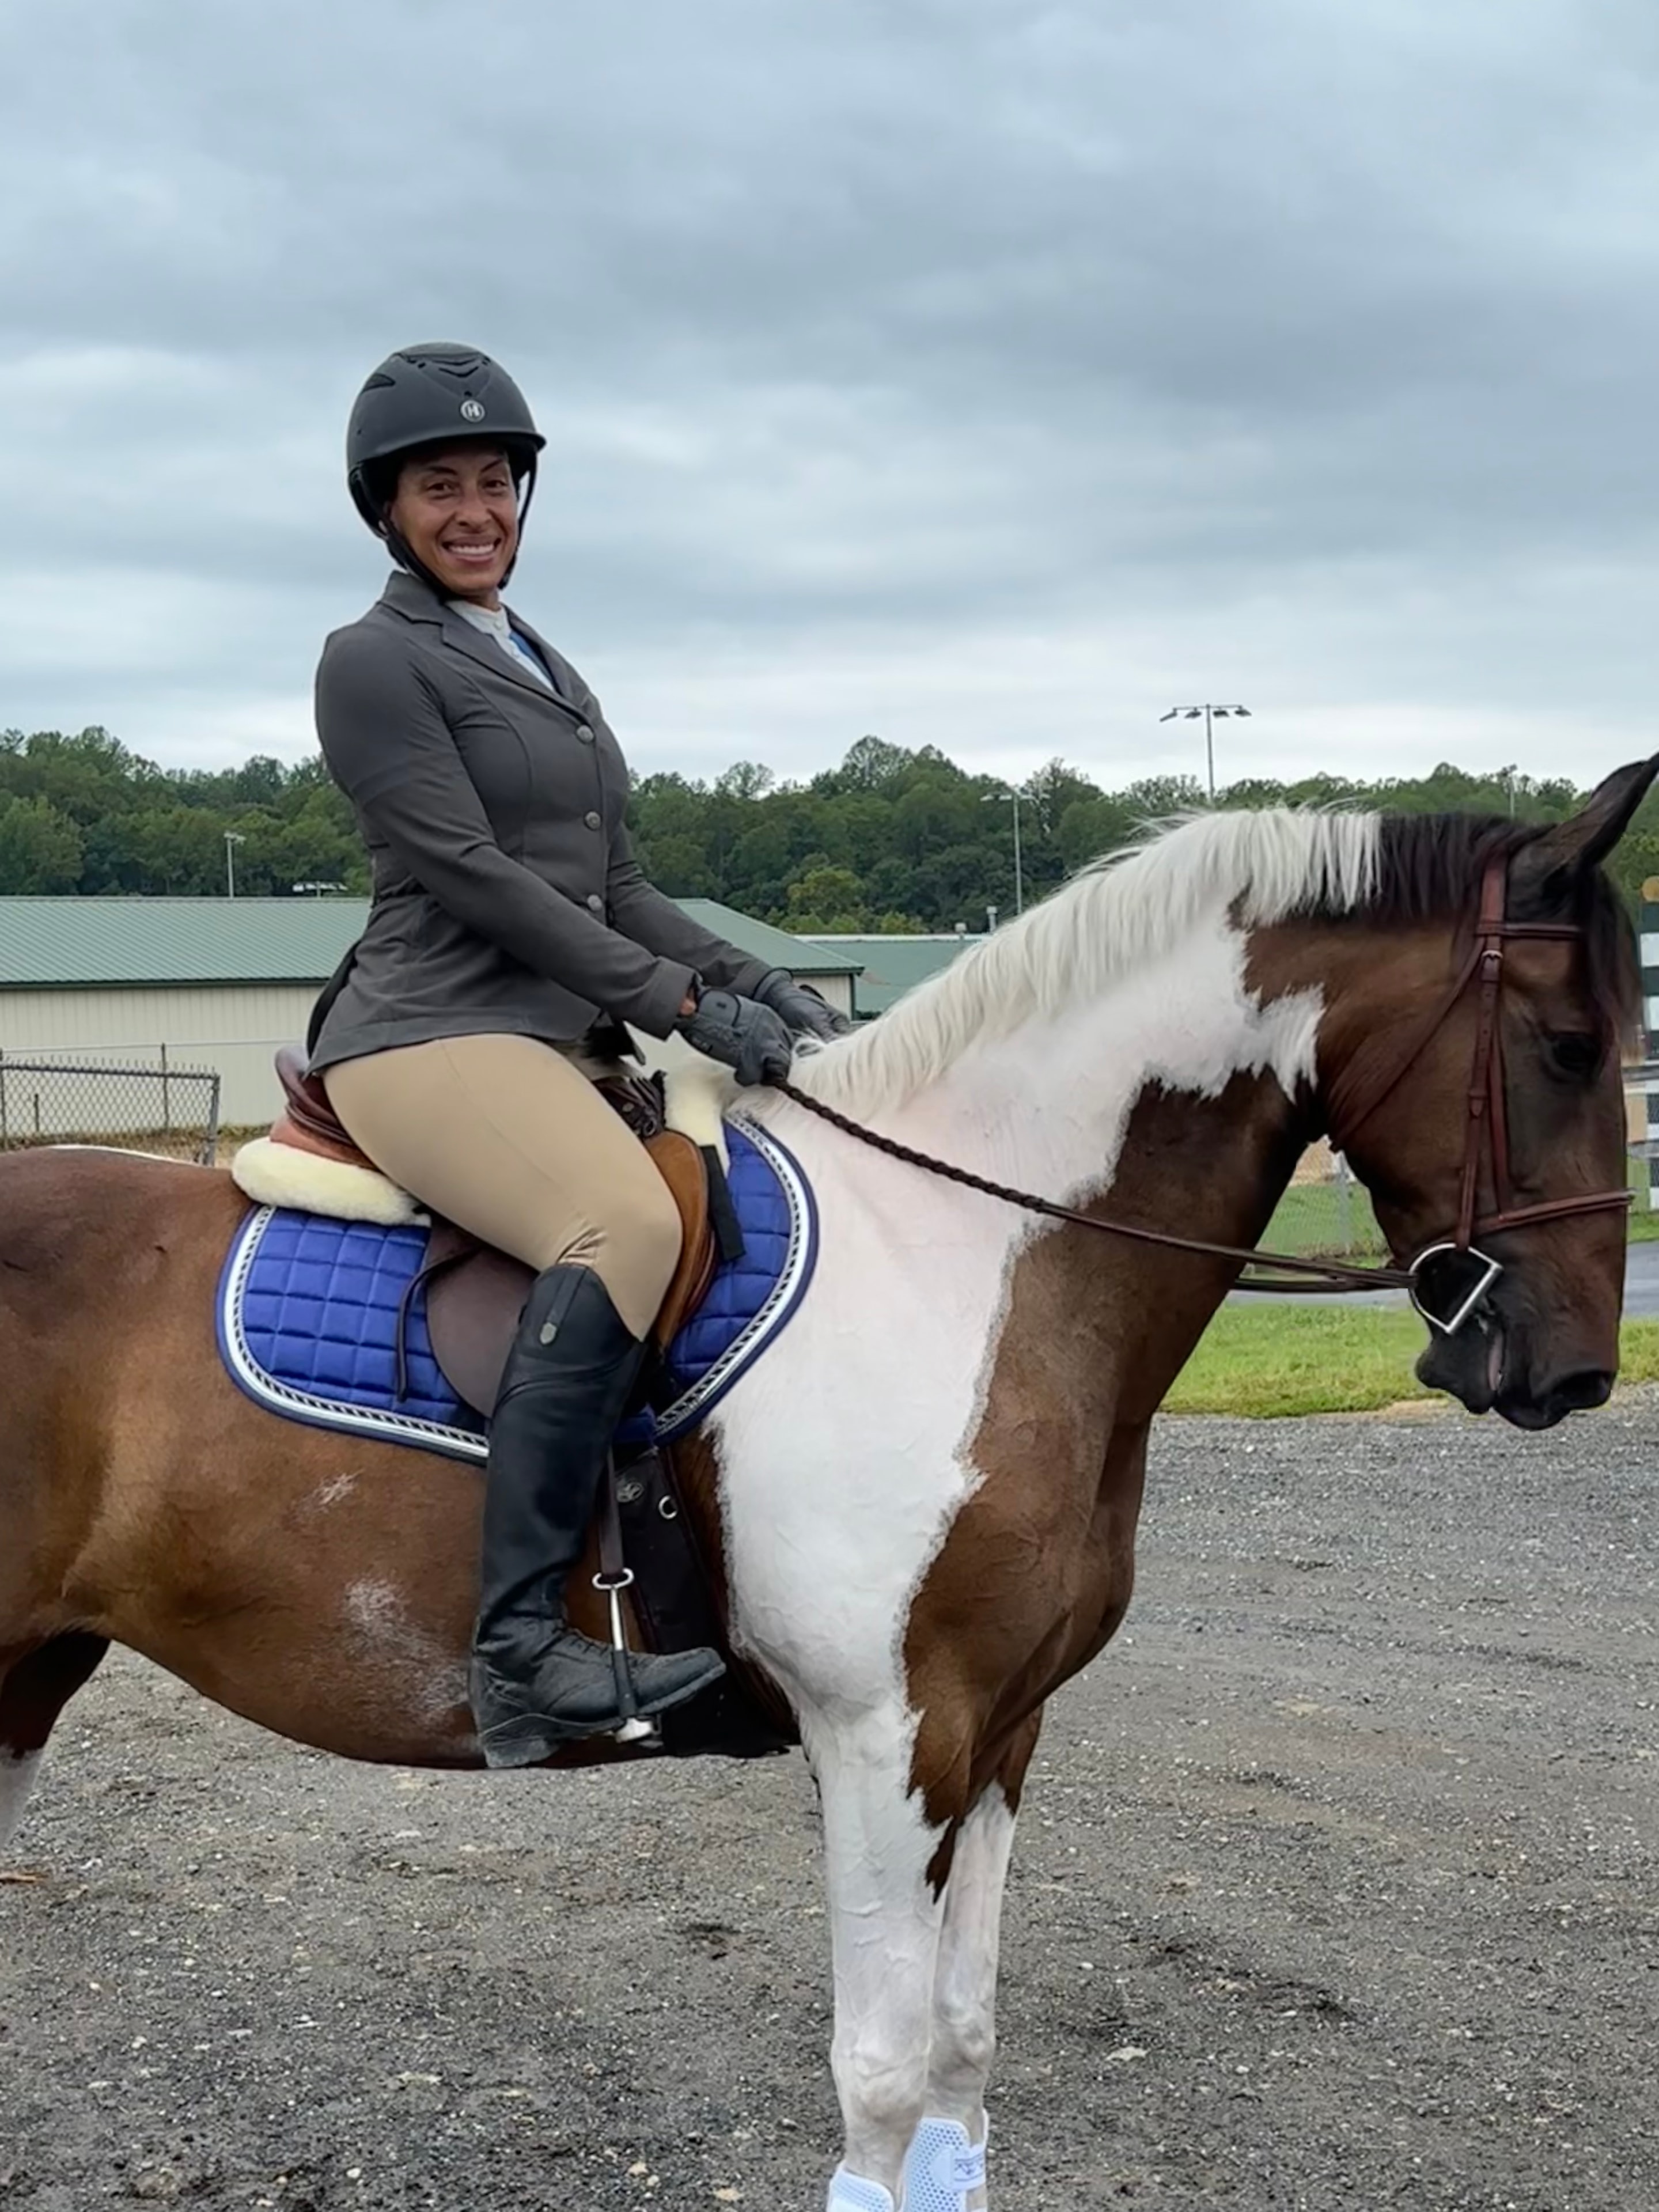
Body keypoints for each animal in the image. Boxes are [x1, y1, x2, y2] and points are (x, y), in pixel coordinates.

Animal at [1, 764, 1650, 2211]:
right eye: (1571, 1045)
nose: (1573, 1368)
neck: (962, 1251)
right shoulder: (881, 1734)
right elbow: (881, 2063)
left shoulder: (1003, 1730)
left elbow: (965, 2038)